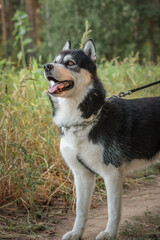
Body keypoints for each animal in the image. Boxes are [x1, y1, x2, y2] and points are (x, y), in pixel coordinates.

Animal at [43, 40, 160, 239]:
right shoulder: (81, 174)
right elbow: (81, 210)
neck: (82, 121)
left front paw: (109, 234)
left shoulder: (112, 173)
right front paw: (76, 233)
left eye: (70, 63)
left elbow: (113, 211)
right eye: (55, 61)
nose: (46, 66)